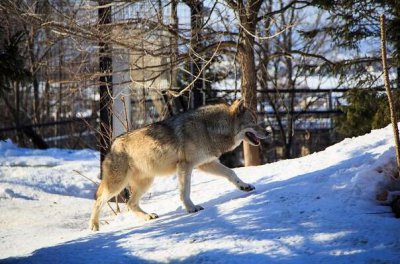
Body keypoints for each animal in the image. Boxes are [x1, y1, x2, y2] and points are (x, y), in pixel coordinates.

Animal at [89, 99, 268, 231]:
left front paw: (244, 186)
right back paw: (94, 226)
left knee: (129, 203)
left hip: (145, 183)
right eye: (254, 122)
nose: (267, 132)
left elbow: (231, 173)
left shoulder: (206, 163)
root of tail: (112, 145)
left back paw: (148, 216)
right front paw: (191, 208)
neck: (209, 128)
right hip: (117, 185)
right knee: (99, 200)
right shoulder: (185, 166)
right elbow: (185, 191)